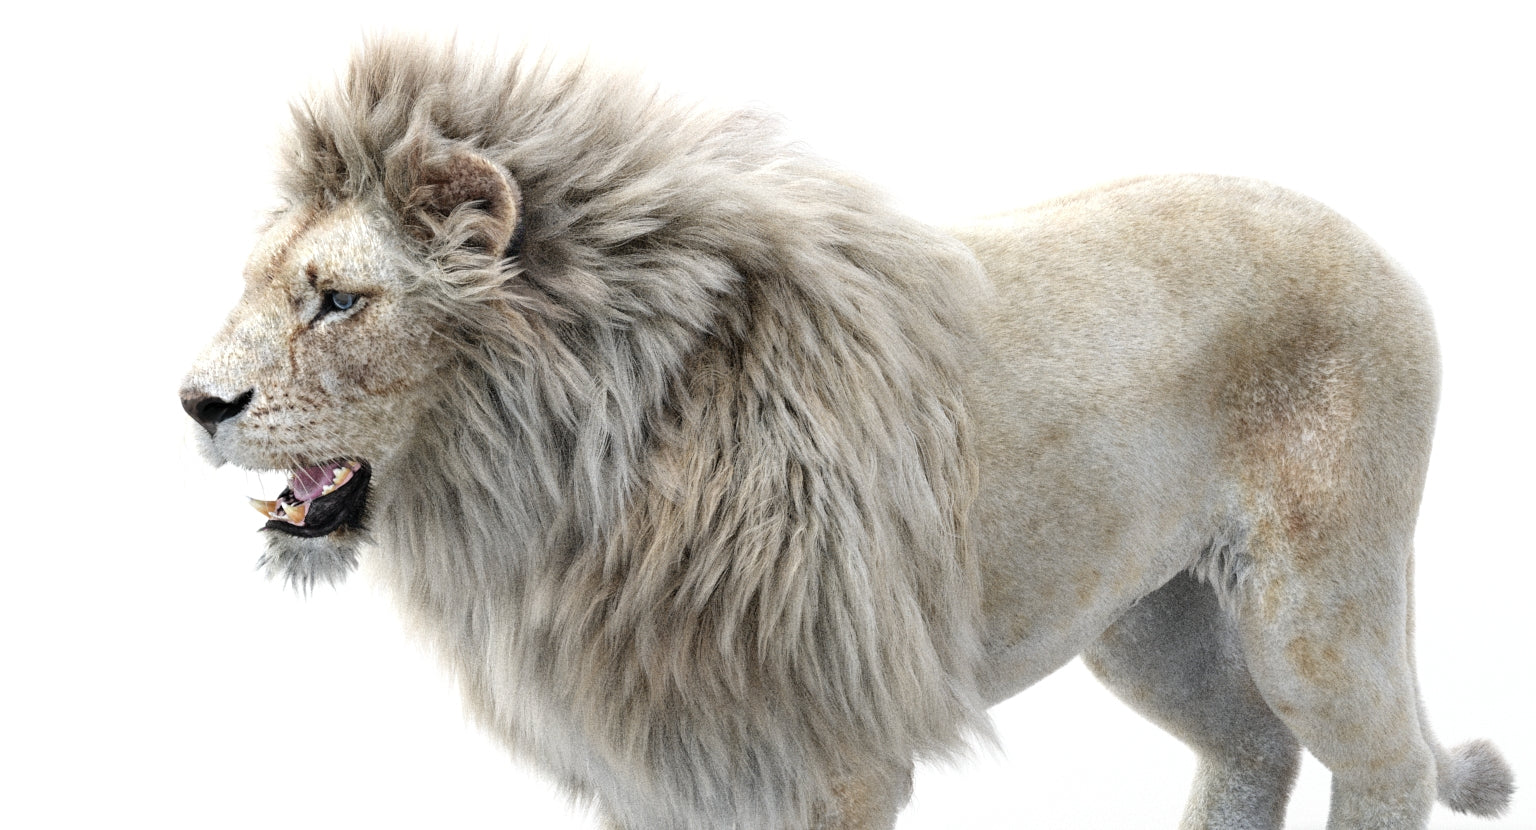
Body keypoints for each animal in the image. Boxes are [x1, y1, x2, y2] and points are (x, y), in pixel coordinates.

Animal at [180, 39, 1513, 829]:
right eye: (260, 283)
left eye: (337, 299)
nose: (195, 403)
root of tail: (1370, 239)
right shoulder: (659, 763)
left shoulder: (835, 757)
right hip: (1147, 618)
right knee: (1253, 745)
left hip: (1315, 600)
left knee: (1384, 761)